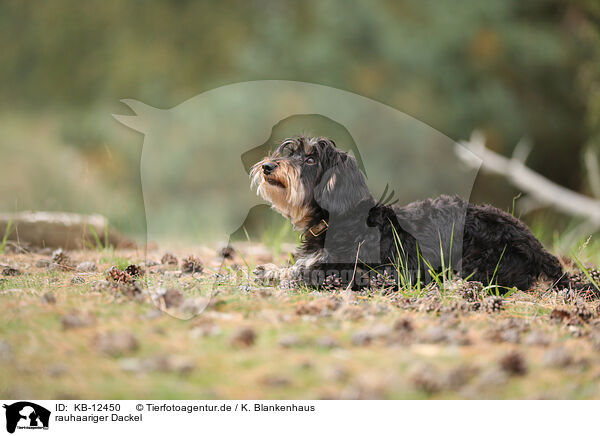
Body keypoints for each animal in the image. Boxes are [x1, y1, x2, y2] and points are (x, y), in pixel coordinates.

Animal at [251, 135, 576, 292]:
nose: (267, 166)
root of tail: (534, 246)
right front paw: (270, 270)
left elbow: (307, 273)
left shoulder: (358, 270)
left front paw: (287, 277)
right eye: (290, 152)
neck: (336, 219)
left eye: (310, 159)